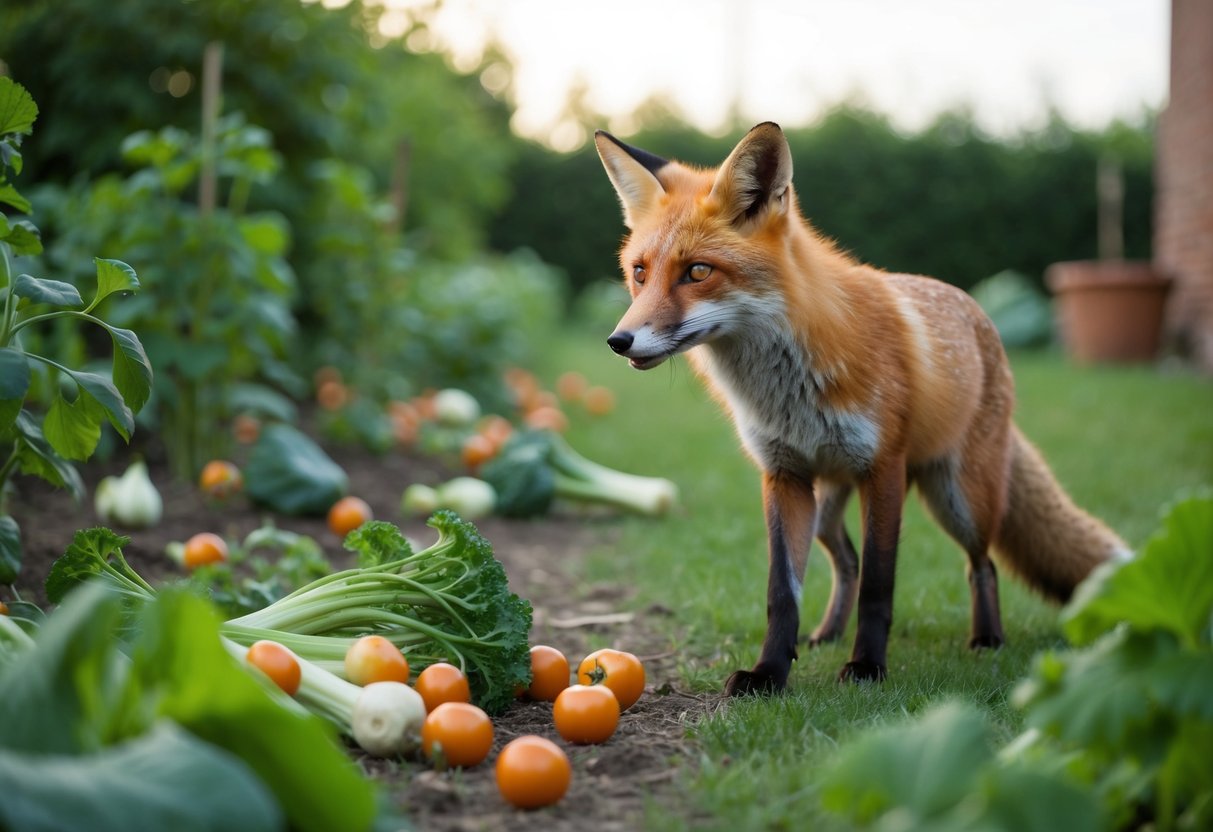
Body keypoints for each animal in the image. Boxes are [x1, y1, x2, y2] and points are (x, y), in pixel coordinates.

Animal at [594, 122, 1132, 695]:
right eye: (639, 273)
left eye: (697, 271)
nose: (619, 341)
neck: (788, 390)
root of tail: (975, 309)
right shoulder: (782, 476)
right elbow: (783, 592)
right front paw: (770, 672)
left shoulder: (884, 469)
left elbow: (879, 581)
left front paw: (868, 667)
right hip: (827, 503)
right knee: (845, 561)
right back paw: (827, 634)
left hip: (956, 497)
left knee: (980, 565)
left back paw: (987, 638)